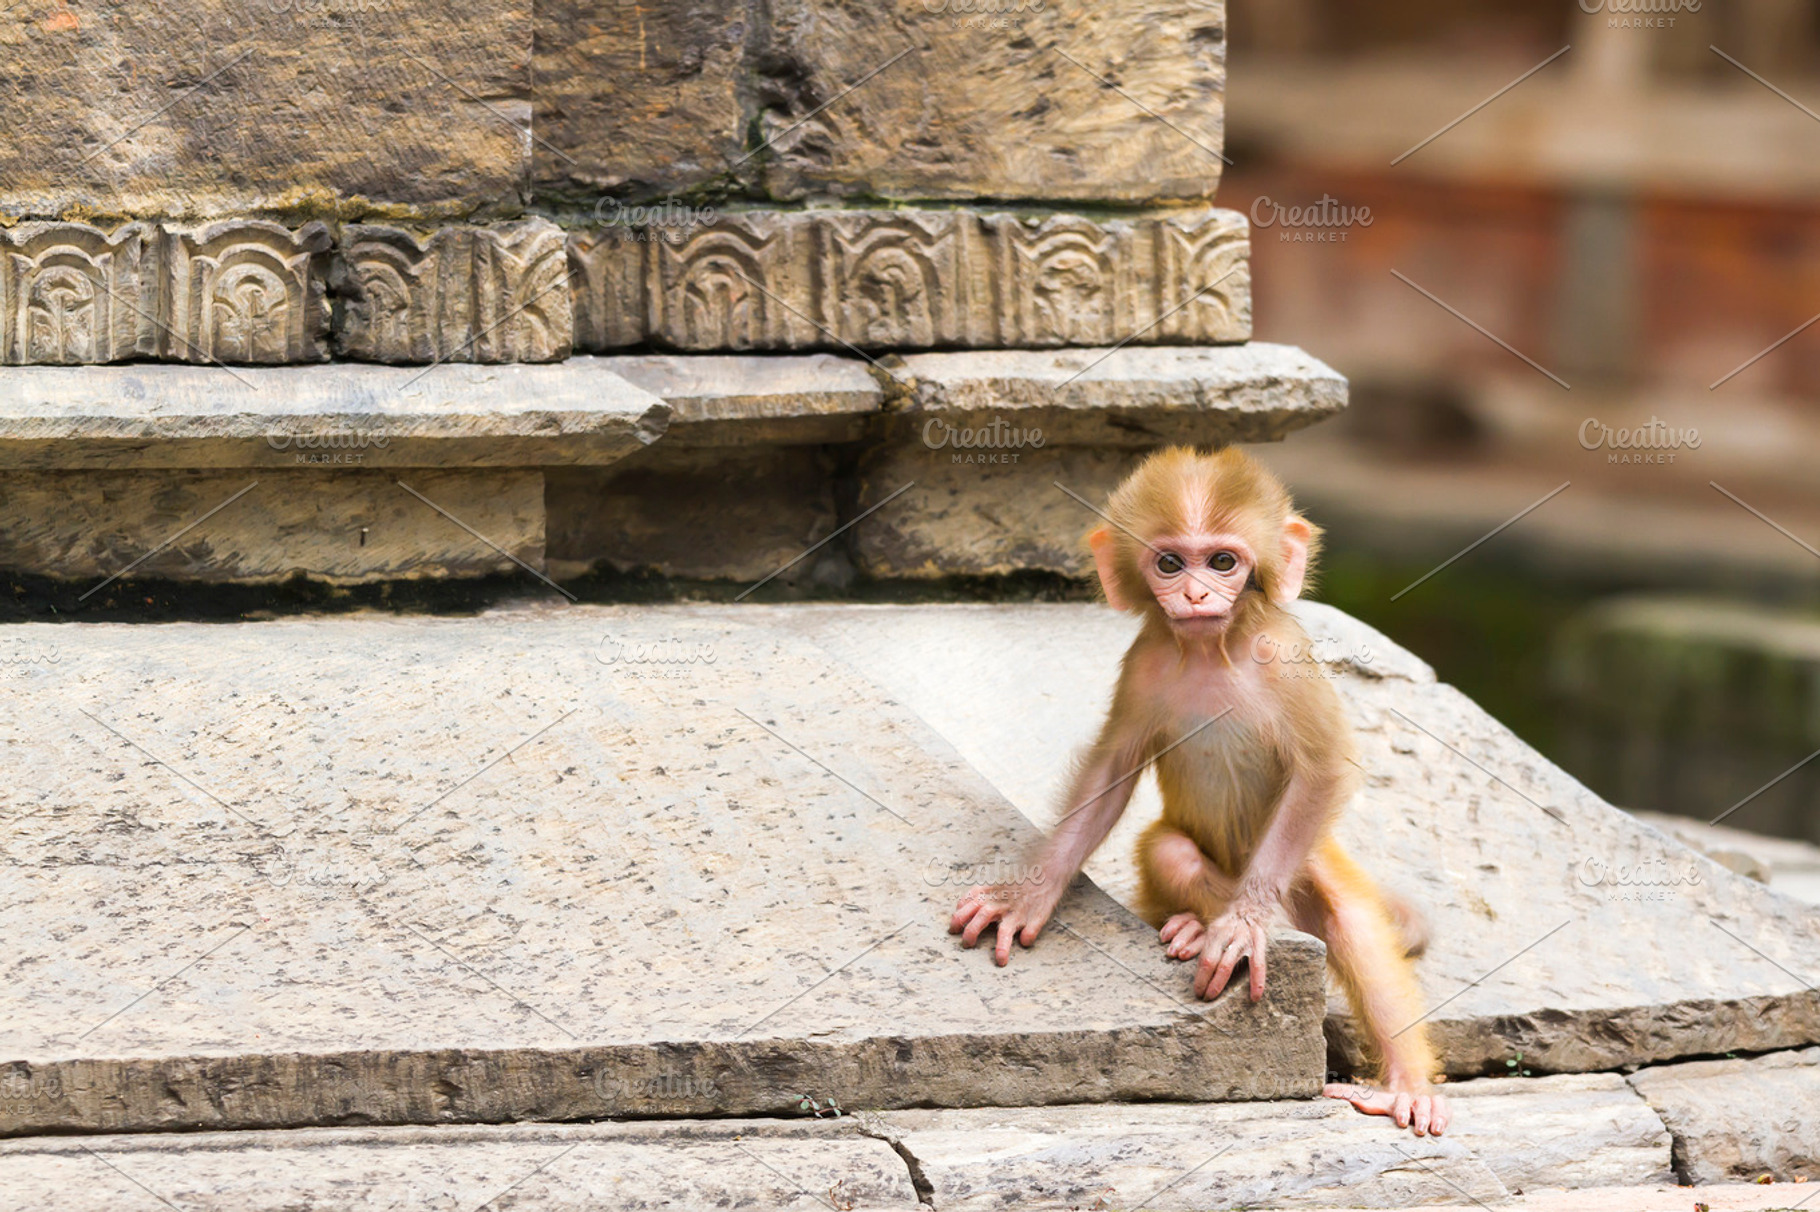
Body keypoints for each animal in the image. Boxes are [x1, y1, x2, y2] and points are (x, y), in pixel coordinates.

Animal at [950, 446, 1448, 1136]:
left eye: (1222, 562)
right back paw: (1189, 925)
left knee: (1348, 918)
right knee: (1171, 853)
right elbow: (1110, 772)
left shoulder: (1287, 656)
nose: (1194, 593)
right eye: (1169, 563)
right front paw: (1028, 894)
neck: (1215, 649)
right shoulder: (1143, 663)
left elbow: (1323, 769)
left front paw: (1241, 925)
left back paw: (1404, 1084)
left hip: (1306, 862)